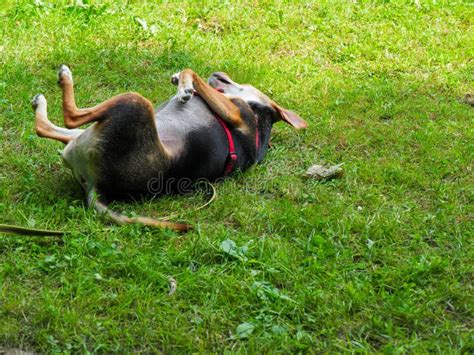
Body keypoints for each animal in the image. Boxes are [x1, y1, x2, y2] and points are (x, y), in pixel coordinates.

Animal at [33, 66, 308, 234]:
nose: (218, 71)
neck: (257, 116)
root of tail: (99, 188)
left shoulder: (236, 114)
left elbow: (191, 71)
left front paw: (184, 85)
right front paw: (183, 85)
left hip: (133, 103)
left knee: (68, 117)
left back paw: (64, 79)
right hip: (91, 131)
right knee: (48, 128)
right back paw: (42, 103)